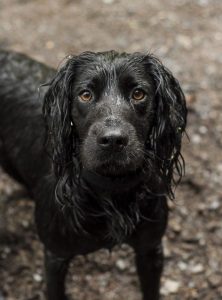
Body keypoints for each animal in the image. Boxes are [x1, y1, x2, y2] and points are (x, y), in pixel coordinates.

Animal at [0, 49, 187, 300]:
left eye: (138, 94)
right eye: (85, 95)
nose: (113, 140)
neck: (111, 190)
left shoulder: (150, 248)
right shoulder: (55, 256)